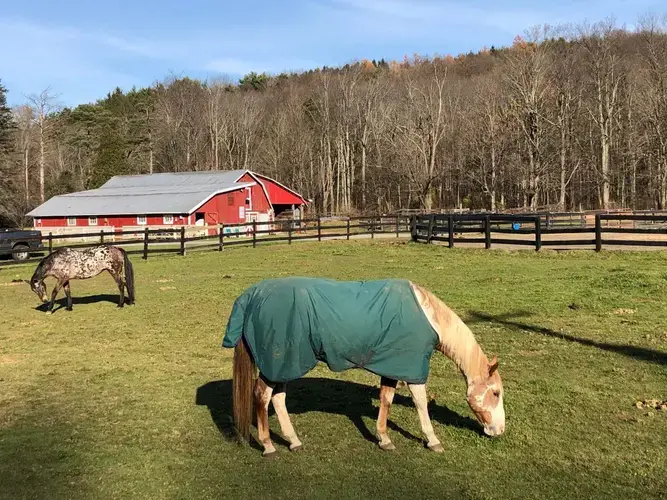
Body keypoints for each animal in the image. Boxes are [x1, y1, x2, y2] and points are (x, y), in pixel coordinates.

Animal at [224, 278, 506, 458]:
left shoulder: (393, 366)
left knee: (278, 399)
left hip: (285, 364)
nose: (499, 430)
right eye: (495, 393)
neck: (428, 316)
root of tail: (251, 296)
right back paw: (268, 445)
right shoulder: (411, 367)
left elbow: (386, 399)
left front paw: (384, 439)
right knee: (262, 396)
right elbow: (420, 403)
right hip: (277, 363)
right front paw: (432, 440)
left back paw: (293, 441)